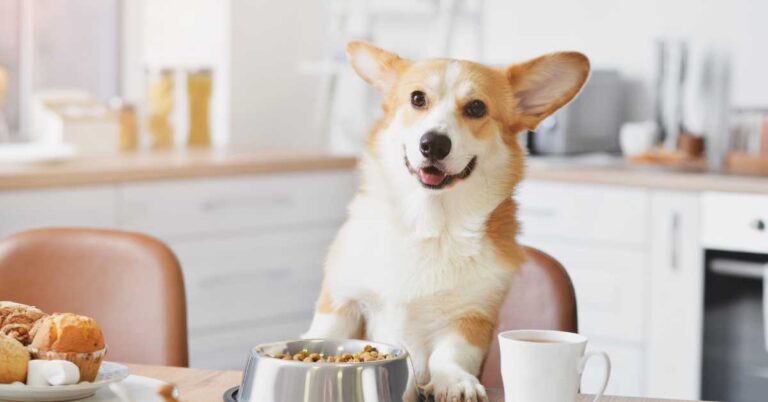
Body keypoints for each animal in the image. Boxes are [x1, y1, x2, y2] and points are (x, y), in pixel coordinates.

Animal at [304, 42, 592, 400]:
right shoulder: (342, 301)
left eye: (476, 107)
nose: (433, 144)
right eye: (417, 99)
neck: (427, 224)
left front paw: (454, 381)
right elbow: (325, 331)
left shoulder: (472, 318)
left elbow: (450, 354)